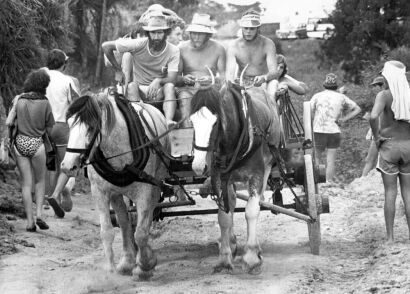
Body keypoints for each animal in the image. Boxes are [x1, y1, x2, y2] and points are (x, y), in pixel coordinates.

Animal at [60, 90, 169, 280]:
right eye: (69, 125)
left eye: (91, 127)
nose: (67, 166)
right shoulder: (100, 191)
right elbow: (107, 232)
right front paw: (111, 271)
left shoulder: (144, 191)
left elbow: (141, 233)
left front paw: (145, 265)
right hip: (117, 194)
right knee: (125, 222)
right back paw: (127, 261)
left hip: (155, 183)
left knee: (147, 217)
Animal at [190, 81, 282, 274]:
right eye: (192, 121)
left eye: (216, 122)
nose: (199, 166)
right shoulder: (220, 179)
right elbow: (224, 216)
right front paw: (224, 258)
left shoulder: (256, 175)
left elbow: (251, 211)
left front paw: (252, 257)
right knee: (231, 202)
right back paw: (231, 243)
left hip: (268, 165)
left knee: (256, 200)